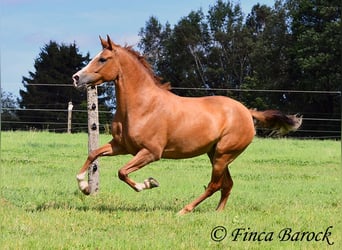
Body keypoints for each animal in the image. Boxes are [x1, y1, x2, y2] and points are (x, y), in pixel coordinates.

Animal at [73, 35, 302, 215]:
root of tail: (247, 112)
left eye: (103, 59)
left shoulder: (151, 152)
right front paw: (84, 187)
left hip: (223, 155)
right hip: (215, 154)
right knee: (227, 184)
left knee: (215, 184)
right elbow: (93, 154)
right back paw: (217, 213)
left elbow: (122, 172)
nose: (76, 78)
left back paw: (184, 210)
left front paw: (148, 183)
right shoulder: (121, 146)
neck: (142, 106)